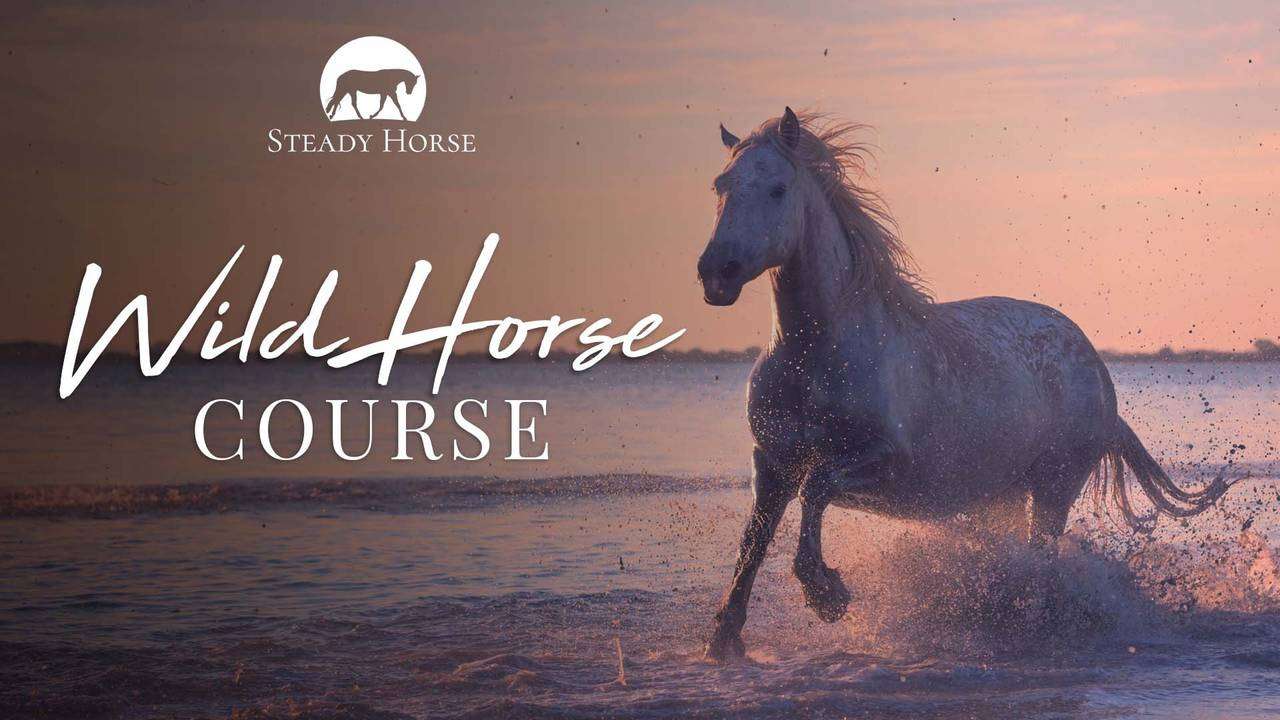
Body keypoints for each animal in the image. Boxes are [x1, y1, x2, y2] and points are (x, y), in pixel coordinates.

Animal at [697, 107, 1235, 662]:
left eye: (778, 189)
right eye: (720, 185)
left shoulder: (882, 460)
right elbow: (754, 541)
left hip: (1054, 486)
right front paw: (724, 639)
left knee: (1040, 560)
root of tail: (1095, 369)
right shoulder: (772, 461)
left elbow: (815, 489)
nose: (717, 273)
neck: (819, 355)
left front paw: (828, 596)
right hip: (1001, 495)